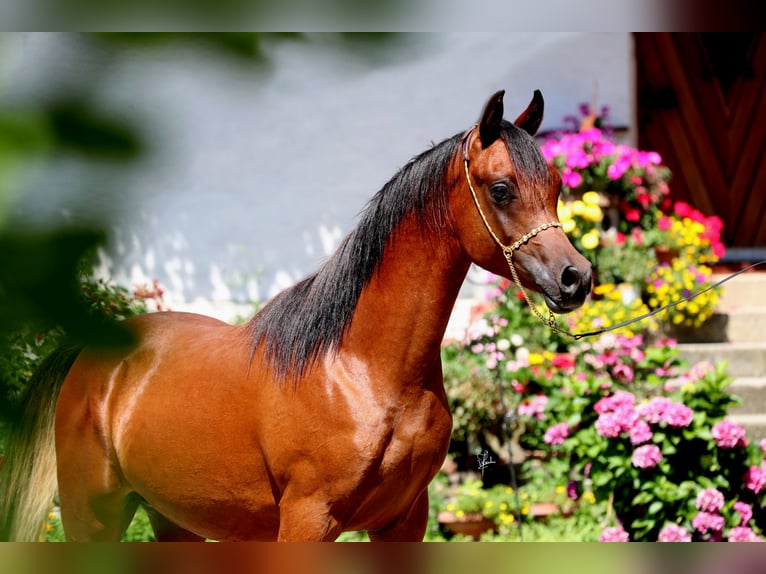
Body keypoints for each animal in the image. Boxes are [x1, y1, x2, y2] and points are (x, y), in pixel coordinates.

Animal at [0, 88, 592, 544]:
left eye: (558, 186)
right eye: (501, 189)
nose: (577, 278)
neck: (360, 371)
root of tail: (88, 353)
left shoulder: (404, 520)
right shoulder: (308, 520)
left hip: (174, 520)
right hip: (92, 515)